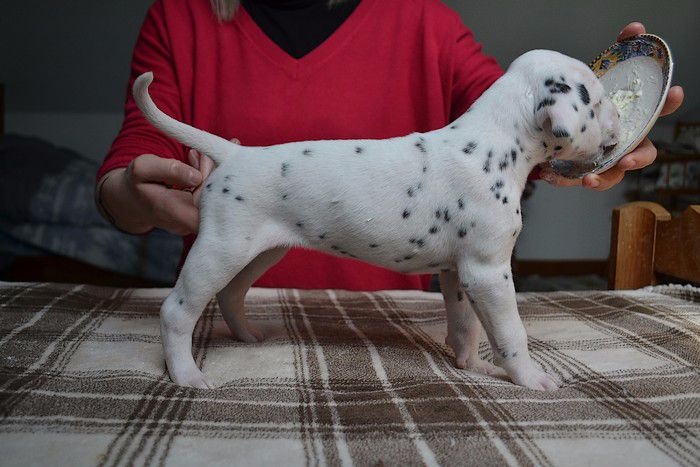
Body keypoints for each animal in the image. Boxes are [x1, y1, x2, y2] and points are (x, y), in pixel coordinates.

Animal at [132, 49, 620, 390]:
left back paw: (247, 335)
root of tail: (234, 155)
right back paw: (185, 373)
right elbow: (511, 332)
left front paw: (470, 364)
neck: (492, 142)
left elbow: (465, 327)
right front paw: (530, 377)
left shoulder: (458, 274)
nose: (618, 117)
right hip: (220, 250)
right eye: (597, 101)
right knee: (176, 310)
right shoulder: (489, 272)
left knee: (231, 294)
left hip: (258, 253)